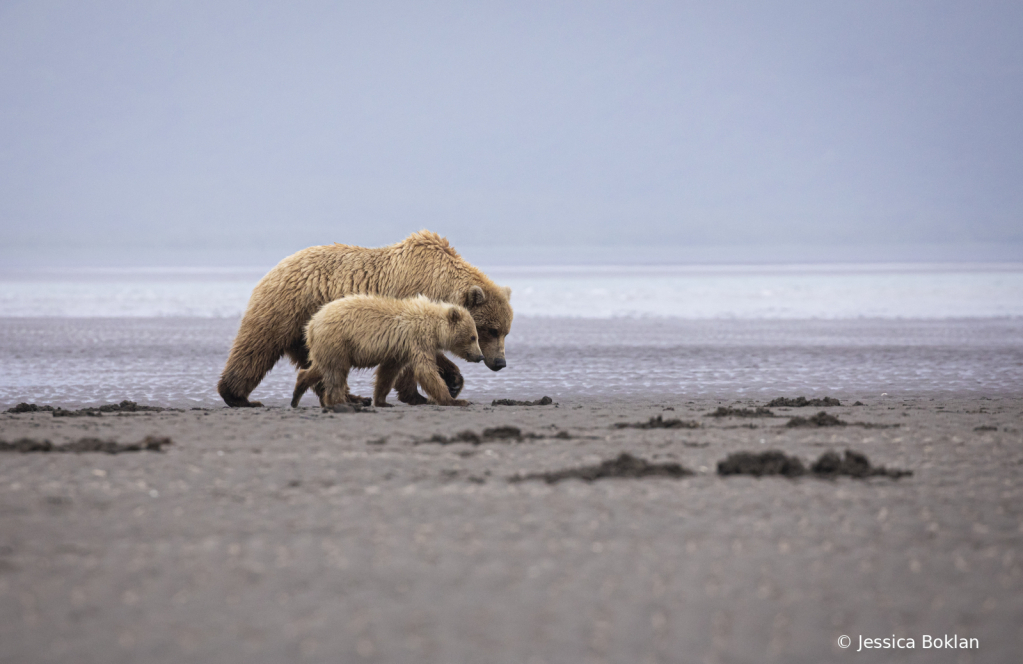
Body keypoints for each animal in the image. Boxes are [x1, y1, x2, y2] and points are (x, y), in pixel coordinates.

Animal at [219, 230, 515, 407]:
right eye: (490, 330)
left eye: (505, 331)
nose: (500, 362)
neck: (440, 284)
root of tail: (275, 266)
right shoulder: (409, 299)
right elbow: (417, 355)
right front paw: (431, 390)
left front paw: (448, 385)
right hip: (287, 307)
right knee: (258, 345)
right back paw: (237, 396)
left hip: (307, 326)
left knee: (317, 362)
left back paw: (352, 397)